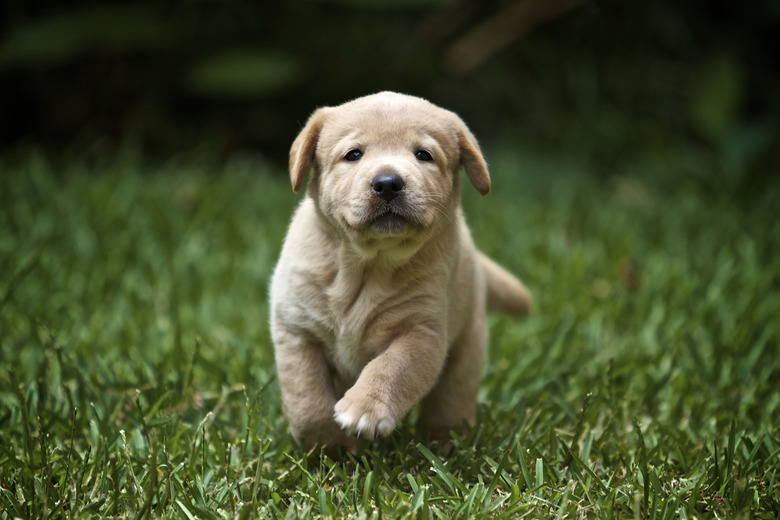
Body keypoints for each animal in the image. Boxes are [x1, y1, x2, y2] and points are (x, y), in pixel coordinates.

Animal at [268, 91, 532, 448]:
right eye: (354, 154)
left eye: (423, 155)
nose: (388, 183)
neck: (367, 265)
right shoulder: (297, 329)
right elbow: (306, 400)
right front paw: (332, 446)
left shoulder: (422, 331)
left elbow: (392, 367)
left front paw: (365, 408)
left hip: (469, 343)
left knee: (452, 398)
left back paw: (442, 442)